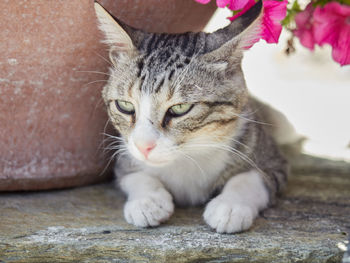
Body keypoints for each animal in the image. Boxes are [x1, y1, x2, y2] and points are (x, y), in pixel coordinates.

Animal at [94, 1, 292, 234]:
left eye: (180, 108)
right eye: (124, 106)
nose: (144, 147)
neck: (190, 155)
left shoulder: (271, 158)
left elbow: (253, 177)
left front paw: (230, 206)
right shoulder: (124, 156)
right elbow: (133, 175)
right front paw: (148, 201)